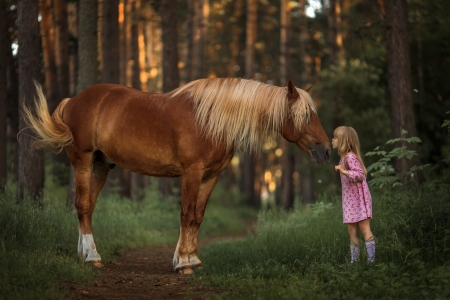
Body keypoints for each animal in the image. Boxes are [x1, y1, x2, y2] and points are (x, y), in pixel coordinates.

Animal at [23, 77, 330, 274]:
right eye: (304, 116)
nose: (326, 150)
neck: (211, 119)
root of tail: (73, 101)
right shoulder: (192, 172)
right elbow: (186, 215)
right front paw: (183, 263)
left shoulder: (211, 176)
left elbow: (197, 217)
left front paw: (193, 259)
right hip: (83, 160)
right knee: (84, 206)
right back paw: (92, 258)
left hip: (100, 165)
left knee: (86, 208)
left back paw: (85, 254)